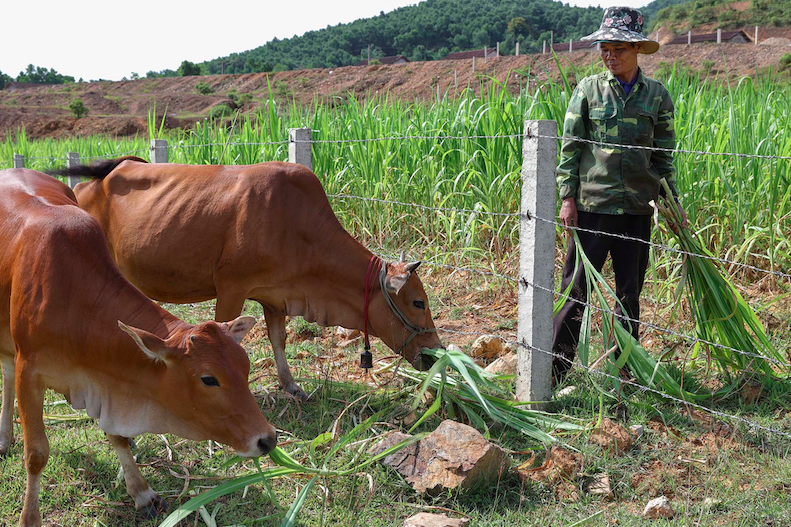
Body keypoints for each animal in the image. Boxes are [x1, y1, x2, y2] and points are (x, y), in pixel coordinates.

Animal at [0, 170, 278, 527]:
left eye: (246, 367)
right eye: (208, 379)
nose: (267, 439)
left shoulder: (107, 382)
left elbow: (116, 435)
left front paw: (142, 492)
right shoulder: (30, 372)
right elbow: (36, 454)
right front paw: (29, 517)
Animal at [60, 157, 446, 400]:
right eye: (418, 302)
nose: (436, 355)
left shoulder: (276, 298)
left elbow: (279, 341)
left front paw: (291, 387)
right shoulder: (231, 289)